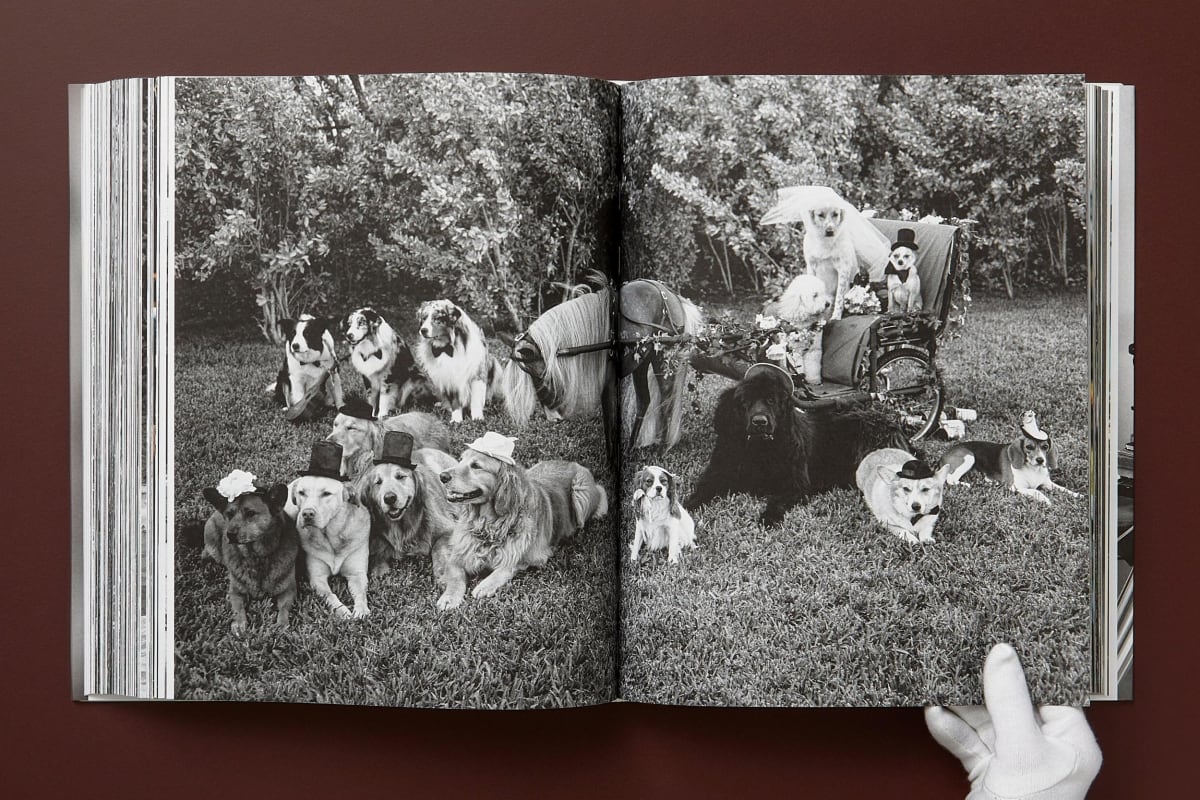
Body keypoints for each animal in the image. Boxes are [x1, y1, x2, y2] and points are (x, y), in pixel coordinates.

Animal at [434, 434, 609, 609]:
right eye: (461, 460)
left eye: (476, 466)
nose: (442, 476)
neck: (489, 524)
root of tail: (572, 463)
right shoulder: (458, 554)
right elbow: (455, 574)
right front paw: (449, 596)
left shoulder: (536, 555)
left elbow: (507, 566)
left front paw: (485, 585)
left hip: (581, 491)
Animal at [686, 362, 907, 525]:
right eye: (745, 401)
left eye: (771, 400)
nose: (760, 422)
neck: (758, 448)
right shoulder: (717, 474)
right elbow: (702, 491)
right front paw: (686, 508)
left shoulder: (794, 483)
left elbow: (777, 500)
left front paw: (769, 518)